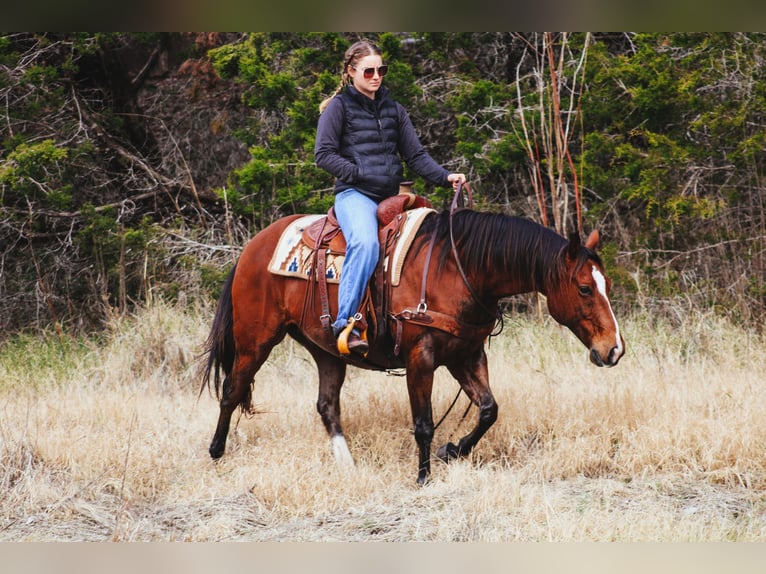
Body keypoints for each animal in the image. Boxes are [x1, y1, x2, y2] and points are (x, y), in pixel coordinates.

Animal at [201, 207, 628, 486]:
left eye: (606, 283)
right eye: (585, 288)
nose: (614, 349)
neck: (457, 267)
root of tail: (252, 248)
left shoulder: (466, 355)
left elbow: (489, 410)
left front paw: (453, 450)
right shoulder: (421, 359)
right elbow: (423, 423)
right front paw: (423, 477)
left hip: (326, 350)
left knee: (326, 405)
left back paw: (348, 465)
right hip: (256, 339)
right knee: (232, 389)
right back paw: (216, 452)